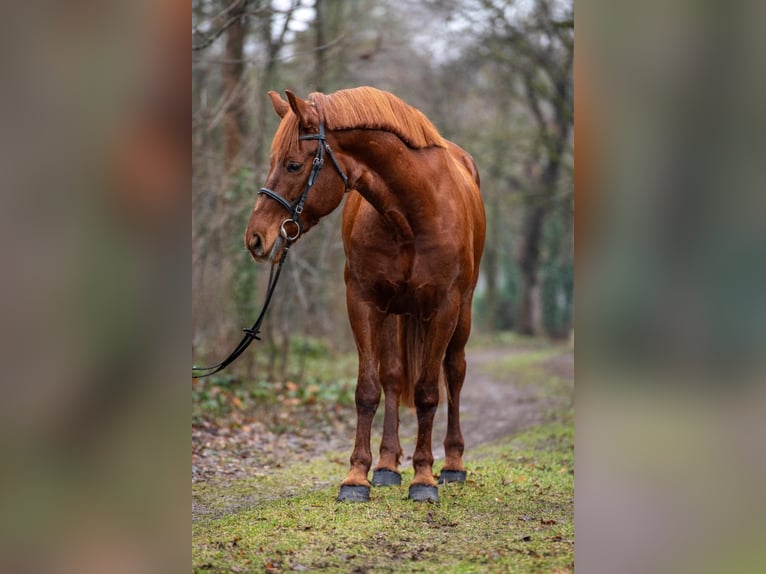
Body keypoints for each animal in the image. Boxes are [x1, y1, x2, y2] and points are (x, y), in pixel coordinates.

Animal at [245, 87, 485, 502]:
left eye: (293, 165)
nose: (256, 238)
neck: (412, 213)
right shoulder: (363, 303)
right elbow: (368, 390)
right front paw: (357, 476)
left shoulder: (443, 308)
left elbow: (427, 392)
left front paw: (424, 478)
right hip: (395, 312)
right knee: (392, 377)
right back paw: (387, 465)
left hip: (462, 312)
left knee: (453, 373)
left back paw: (452, 464)